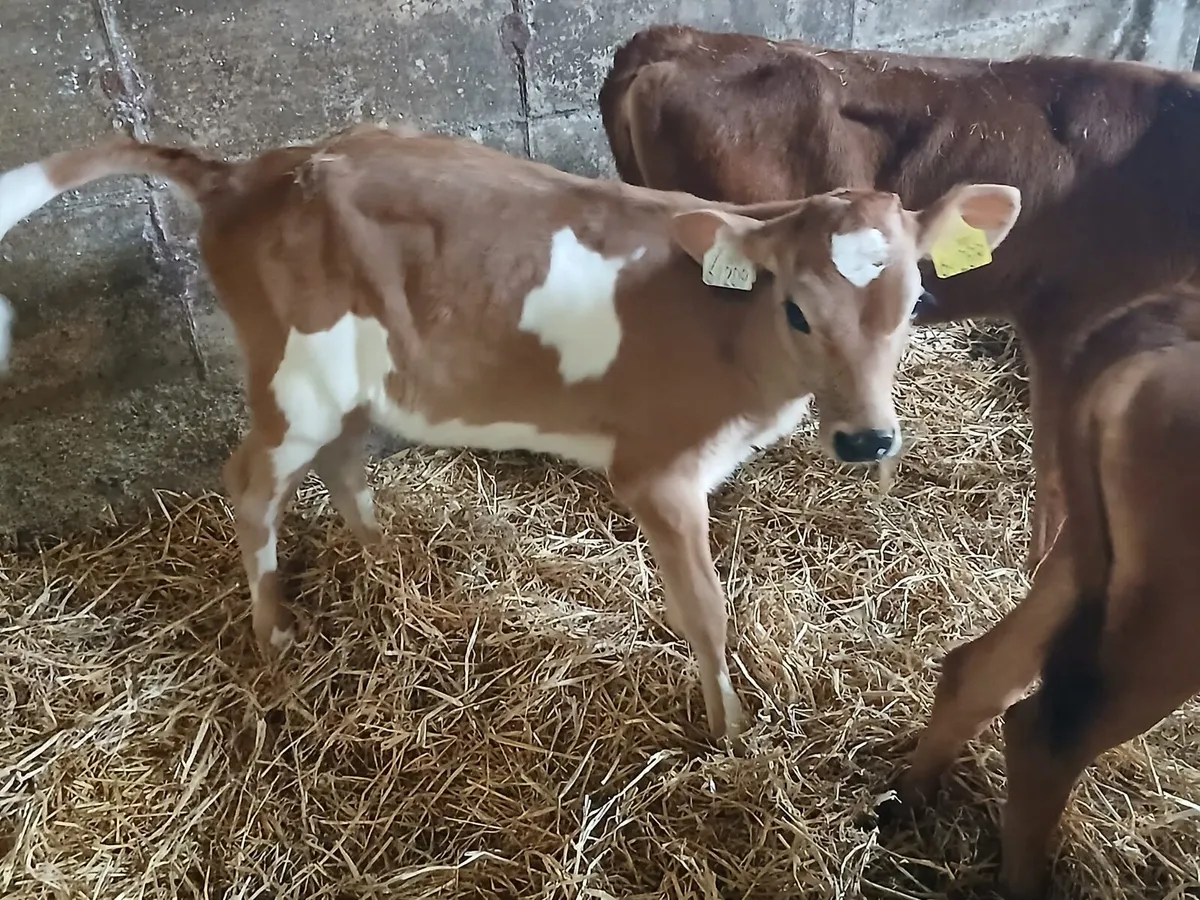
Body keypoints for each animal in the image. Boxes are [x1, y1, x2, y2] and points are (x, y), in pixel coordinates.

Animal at [0, 123, 1022, 745]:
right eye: (798, 310)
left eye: (915, 300)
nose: (867, 442)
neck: (734, 344)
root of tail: (243, 172)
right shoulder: (656, 472)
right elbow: (705, 610)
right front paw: (731, 730)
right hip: (296, 376)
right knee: (252, 481)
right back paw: (275, 630)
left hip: (361, 380)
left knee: (342, 460)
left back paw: (387, 557)